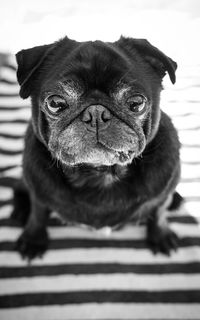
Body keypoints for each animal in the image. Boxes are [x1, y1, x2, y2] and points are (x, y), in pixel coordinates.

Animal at [11, 35, 182, 260]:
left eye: (136, 102)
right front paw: (33, 238)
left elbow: (160, 212)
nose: (96, 114)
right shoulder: (38, 192)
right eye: (55, 103)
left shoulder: (163, 194)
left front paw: (161, 235)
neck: (99, 173)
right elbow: (38, 213)